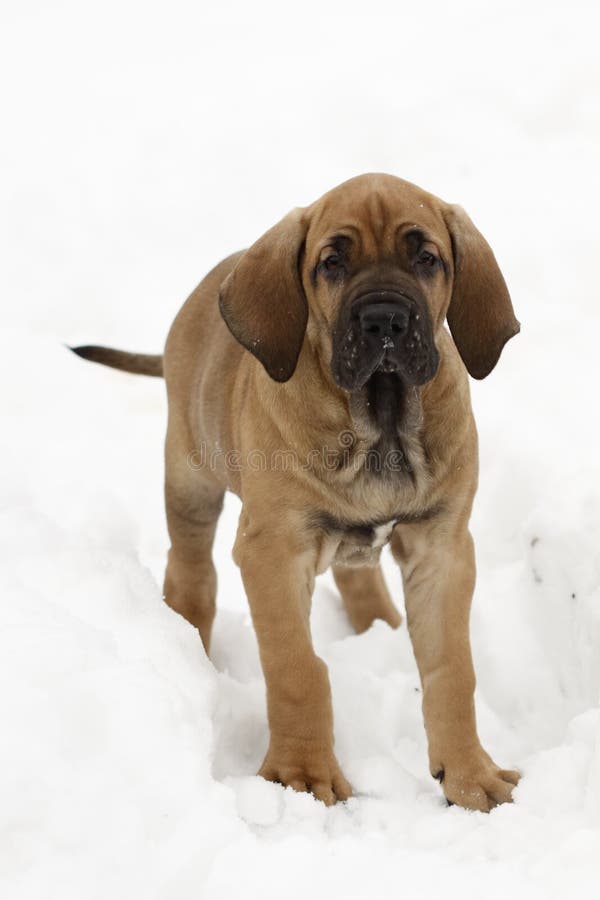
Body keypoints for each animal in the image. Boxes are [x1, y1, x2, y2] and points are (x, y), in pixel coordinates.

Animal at [71, 174, 520, 808]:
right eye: (332, 262)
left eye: (427, 258)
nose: (384, 320)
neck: (380, 419)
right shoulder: (273, 551)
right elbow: (298, 668)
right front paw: (302, 775)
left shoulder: (443, 548)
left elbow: (452, 669)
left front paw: (469, 776)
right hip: (190, 475)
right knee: (191, 572)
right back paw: (188, 640)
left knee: (358, 577)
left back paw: (380, 627)